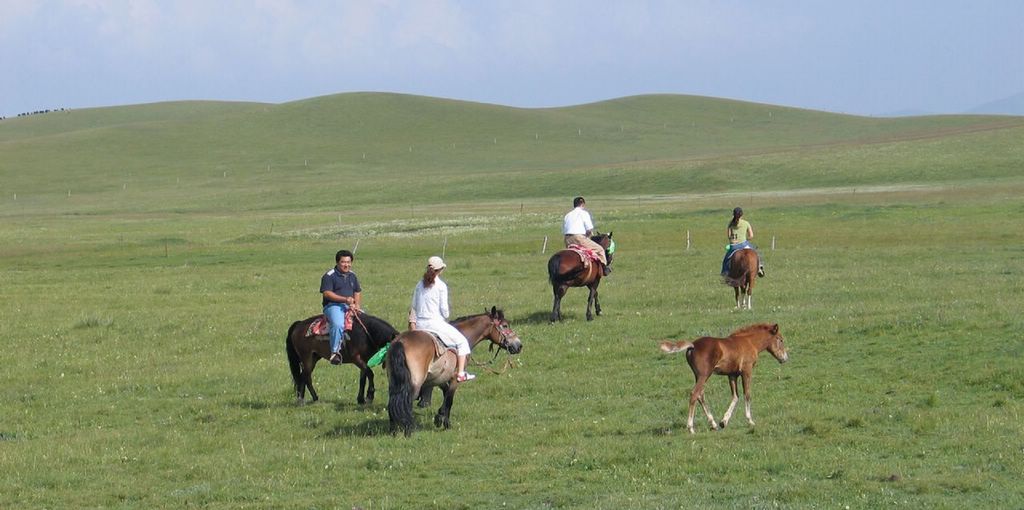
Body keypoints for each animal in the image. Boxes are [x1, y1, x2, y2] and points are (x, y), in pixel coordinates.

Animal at [387, 305, 524, 436]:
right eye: (505, 325)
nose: (519, 345)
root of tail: (400, 341)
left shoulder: (439, 377)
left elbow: (445, 393)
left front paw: (440, 417)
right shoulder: (454, 378)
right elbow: (449, 399)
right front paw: (446, 423)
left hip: (395, 381)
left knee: (392, 402)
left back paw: (393, 430)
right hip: (415, 383)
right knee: (406, 402)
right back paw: (409, 430)